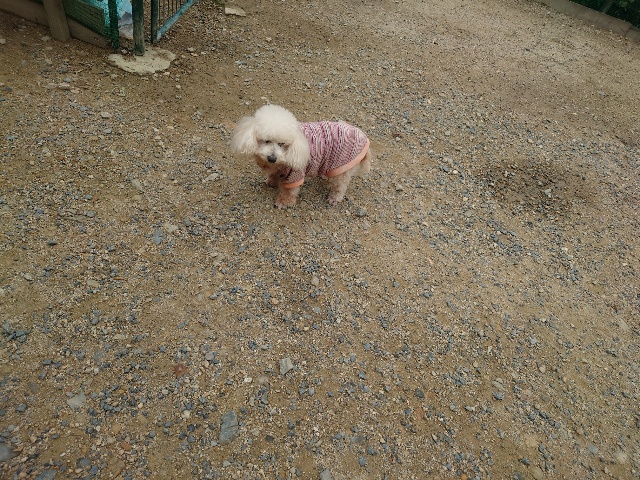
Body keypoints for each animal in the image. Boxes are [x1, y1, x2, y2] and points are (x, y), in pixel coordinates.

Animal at [230, 104, 372, 208]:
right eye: (266, 141)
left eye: (282, 144)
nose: (272, 158)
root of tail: (363, 137)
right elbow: (274, 175)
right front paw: (271, 181)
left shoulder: (295, 175)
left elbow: (289, 192)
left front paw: (283, 203)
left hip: (342, 167)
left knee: (340, 186)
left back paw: (334, 198)